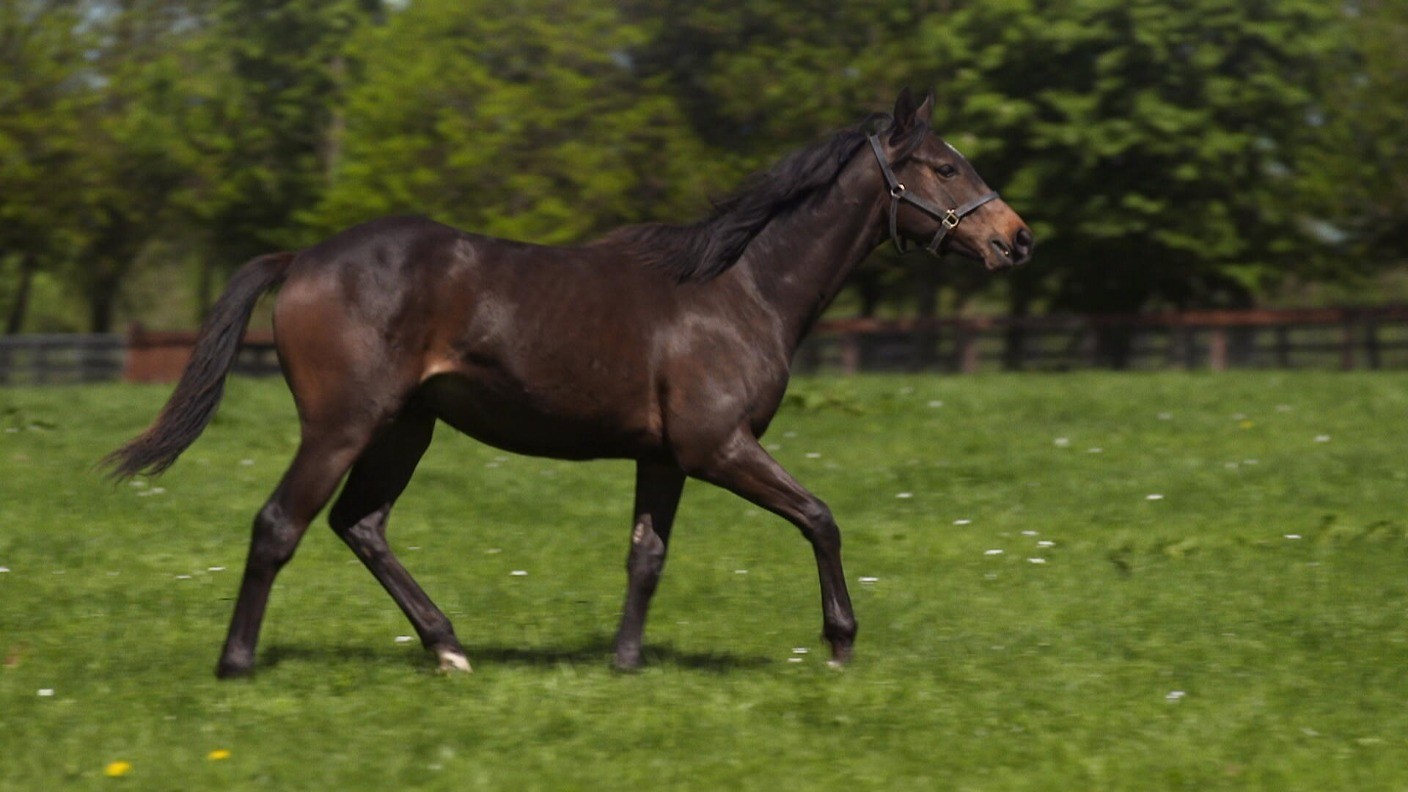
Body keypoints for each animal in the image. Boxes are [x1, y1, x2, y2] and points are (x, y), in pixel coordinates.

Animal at [106, 89, 1033, 677]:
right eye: (945, 167)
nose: (1016, 239)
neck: (741, 287)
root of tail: (300, 259)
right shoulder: (718, 447)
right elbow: (821, 519)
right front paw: (839, 644)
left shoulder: (664, 458)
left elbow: (646, 557)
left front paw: (624, 663)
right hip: (343, 424)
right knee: (280, 525)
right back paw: (237, 664)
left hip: (406, 428)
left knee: (359, 525)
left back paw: (449, 648)